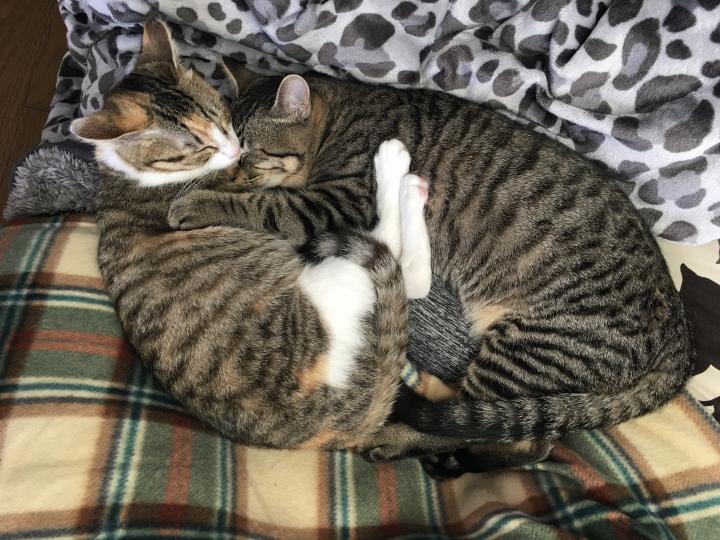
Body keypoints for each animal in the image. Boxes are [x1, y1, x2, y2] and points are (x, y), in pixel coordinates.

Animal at [70, 19, 470, 457]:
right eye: (200, 146)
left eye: (222, 118)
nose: (233, 153)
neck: (127, 173)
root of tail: (341, 429)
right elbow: (265, 205)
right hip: (336, 280)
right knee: (399, 263)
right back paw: (400, 173)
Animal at [167, 64, 695, 477]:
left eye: (252, 153)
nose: (230, 170)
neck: (344, 116)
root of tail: (679, 339)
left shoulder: (336, 201)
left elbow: (266, 204)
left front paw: (199, 200)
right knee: (527, 436)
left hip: (529, 348)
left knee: (483, 429)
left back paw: (398, 438)